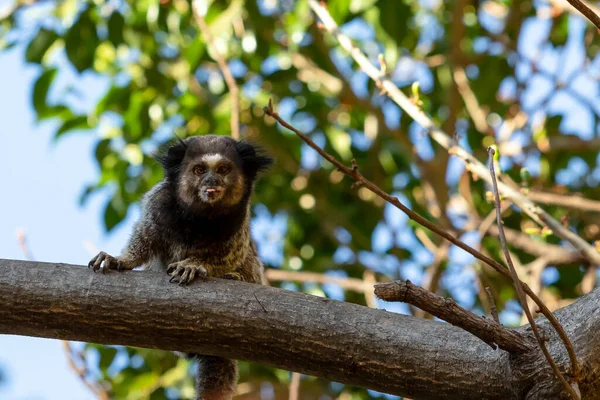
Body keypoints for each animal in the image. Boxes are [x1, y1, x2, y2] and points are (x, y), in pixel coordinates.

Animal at [87, 135, 274, 400]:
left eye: (223, 170)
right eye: (199, 170)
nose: (211, 182)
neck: (199, 217)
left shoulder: (239, 221)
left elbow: (229, 255)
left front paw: (195, 265)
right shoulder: (157, 203)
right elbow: (144, 239)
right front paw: (122, 260)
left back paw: (235, 278)